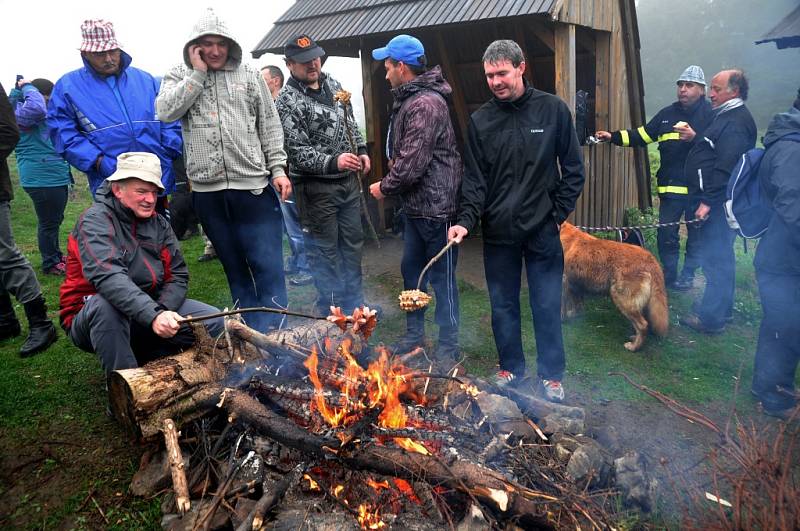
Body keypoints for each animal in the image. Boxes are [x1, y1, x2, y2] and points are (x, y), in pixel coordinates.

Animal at [564, 222, 668, 352]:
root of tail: (650, 259)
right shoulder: (576, 284)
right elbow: (577, 304)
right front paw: (574, 315)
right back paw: (635, 338)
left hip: (622, 298)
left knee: (643, 324)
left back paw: (634, 347)